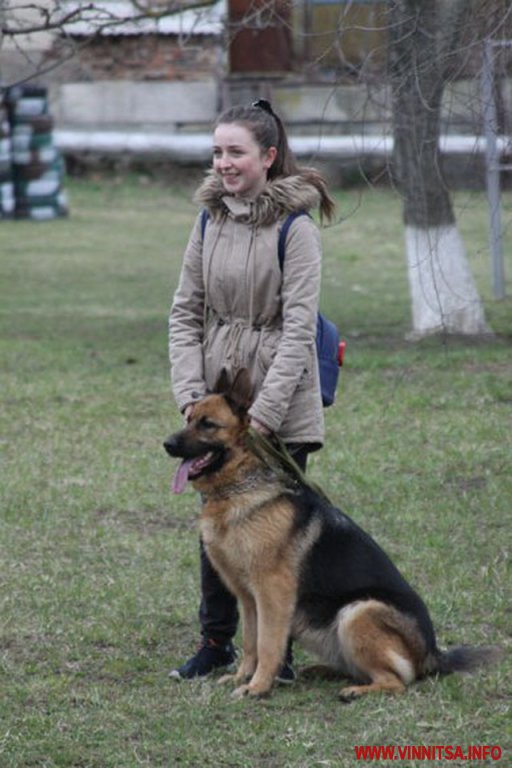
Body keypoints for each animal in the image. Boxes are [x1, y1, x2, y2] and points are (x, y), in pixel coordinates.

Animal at [165, 368, 500, 700]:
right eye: (189, 419)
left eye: (208, 424)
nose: (166, 444)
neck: (240, 486)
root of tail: (432, 653)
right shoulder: (248, 599)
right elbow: (250, 642)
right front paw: (241, 677)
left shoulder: (272, 594)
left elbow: (267, 644)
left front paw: (257, 686)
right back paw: (323, 672)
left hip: (357, 612)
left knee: (397, 680)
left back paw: (355, 691)